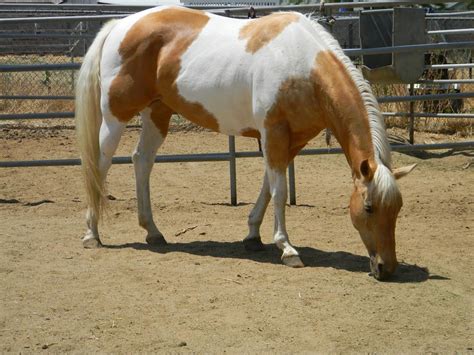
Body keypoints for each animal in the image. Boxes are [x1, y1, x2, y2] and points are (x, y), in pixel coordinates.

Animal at [77, 5, 414, 280]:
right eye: (368, 207)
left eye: (397, 209)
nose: (386, 268)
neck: (302, 64)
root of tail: (121, 25)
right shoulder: (274, 133)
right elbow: (280, 192)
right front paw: (287, 249)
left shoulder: (290, 140)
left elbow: (269, 186)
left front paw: (253, 236)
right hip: (115, 117)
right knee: (100, 165)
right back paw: (92, 234)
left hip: (158, 112)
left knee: (142, 160)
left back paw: (153, 232)